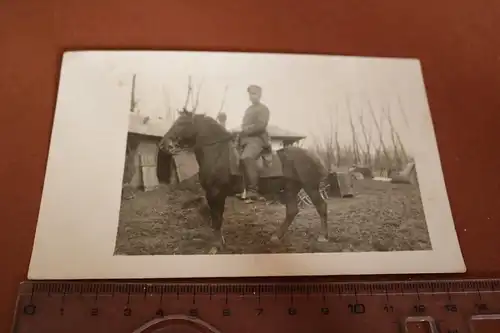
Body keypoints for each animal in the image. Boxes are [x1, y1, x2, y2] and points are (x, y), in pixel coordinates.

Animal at [160, 108, 330, 252]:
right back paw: (276, 237)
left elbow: (217, 218)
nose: (163, 144)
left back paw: (323, 236)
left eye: (181, 123)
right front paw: (219, 242)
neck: (218, 153)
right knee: (292, 211)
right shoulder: (213, 194)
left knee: (321, 207)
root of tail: (313, 155)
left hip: (311, 187)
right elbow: (215, 217)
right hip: (290, 189)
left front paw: (216, 245)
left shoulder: (215, 193)